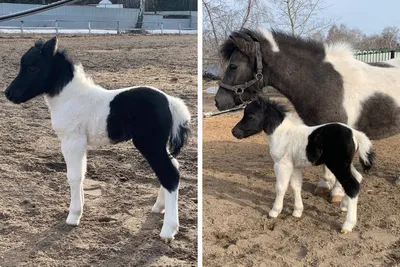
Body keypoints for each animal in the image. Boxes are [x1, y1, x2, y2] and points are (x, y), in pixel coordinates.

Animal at [3, 36, 191, 240]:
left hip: (149, 144)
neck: (70, 98)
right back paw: (159, 207)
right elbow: (82, 173)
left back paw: (168, 230)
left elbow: (74, 176)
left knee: (170, 175)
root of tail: (170, 101)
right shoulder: (81, 143)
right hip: (158, 145)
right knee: (174, 167)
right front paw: (80, 210)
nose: (9, 93)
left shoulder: (72, 141)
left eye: (33, 68)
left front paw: (73, 216)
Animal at [231, 97, 376, 233]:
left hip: (338, 165)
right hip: (346, 164)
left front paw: (274, 211)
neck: (282, 134)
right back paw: (344, 206)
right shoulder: (295, 166)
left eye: (251, 116)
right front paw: (297, 211)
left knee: (352, 186)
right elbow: (296, 186)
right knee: (357, 177)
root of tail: (355, 134)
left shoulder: (282, 165)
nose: (234, 132)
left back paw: (347, 225)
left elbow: (281, 187)